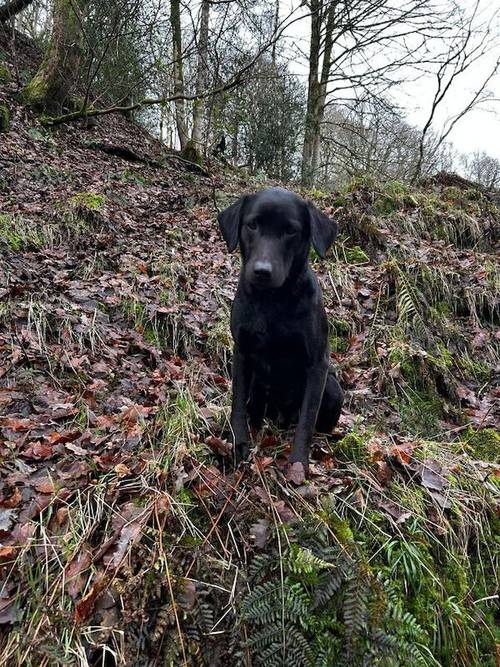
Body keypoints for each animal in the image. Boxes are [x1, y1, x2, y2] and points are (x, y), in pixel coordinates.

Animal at [219, 185, 344, 472]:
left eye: (290, 231)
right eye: (252, 225)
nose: (262, 271)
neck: (272, 302)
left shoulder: (318, 364)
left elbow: (307, 421)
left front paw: (298, 464)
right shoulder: (242, 352)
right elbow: (237, 404)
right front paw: (239, 443)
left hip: (333, 388)